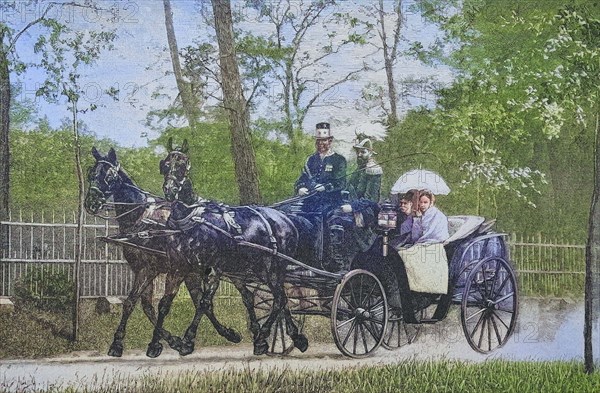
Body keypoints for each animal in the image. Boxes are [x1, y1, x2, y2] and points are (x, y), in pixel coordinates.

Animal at [84, 146, 239, 356]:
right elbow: (141, 305)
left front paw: (151, 343)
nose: (90, 203)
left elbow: (149, 304)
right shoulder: (143, 269)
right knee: (203, 302)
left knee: (212, 300)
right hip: (193, 273)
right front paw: (170, 340)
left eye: (109, 176)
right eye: (91, 174)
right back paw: (222, 334)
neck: (141, 218)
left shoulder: (151, 270)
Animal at [155, 142, 308, 356]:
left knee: (278, 298)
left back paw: (264, 336)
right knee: (277, 298)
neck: (191, 219)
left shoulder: (213, 270)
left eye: (183, 165)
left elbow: (203, 303)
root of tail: (287, 220)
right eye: (166, 164)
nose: (169, 189)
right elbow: (165, 304)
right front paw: (154, 344)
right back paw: (291, 337)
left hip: (270, 268)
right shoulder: (179, 268)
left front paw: (187, 340)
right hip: (255, 270)